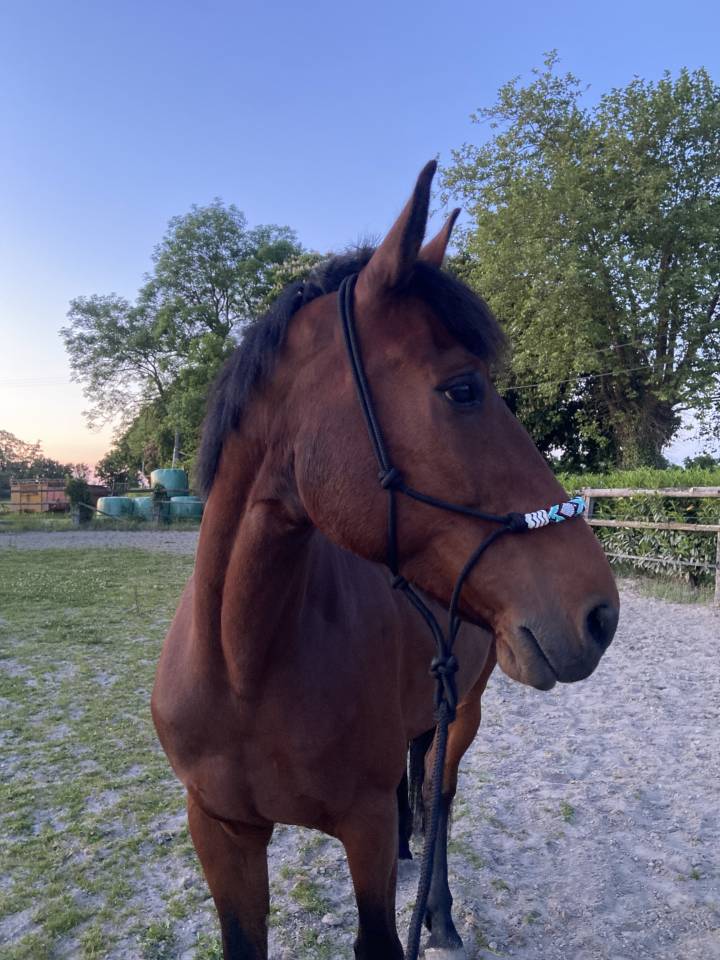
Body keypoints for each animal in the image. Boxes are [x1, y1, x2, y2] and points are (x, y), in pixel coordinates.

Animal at [152, 161, 619, 960]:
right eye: (462, 389)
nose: (600, 612)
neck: (243, 669)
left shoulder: (360, 830)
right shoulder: (221, 833)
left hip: (464, 713)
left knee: (439, 796)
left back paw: (440, 913)